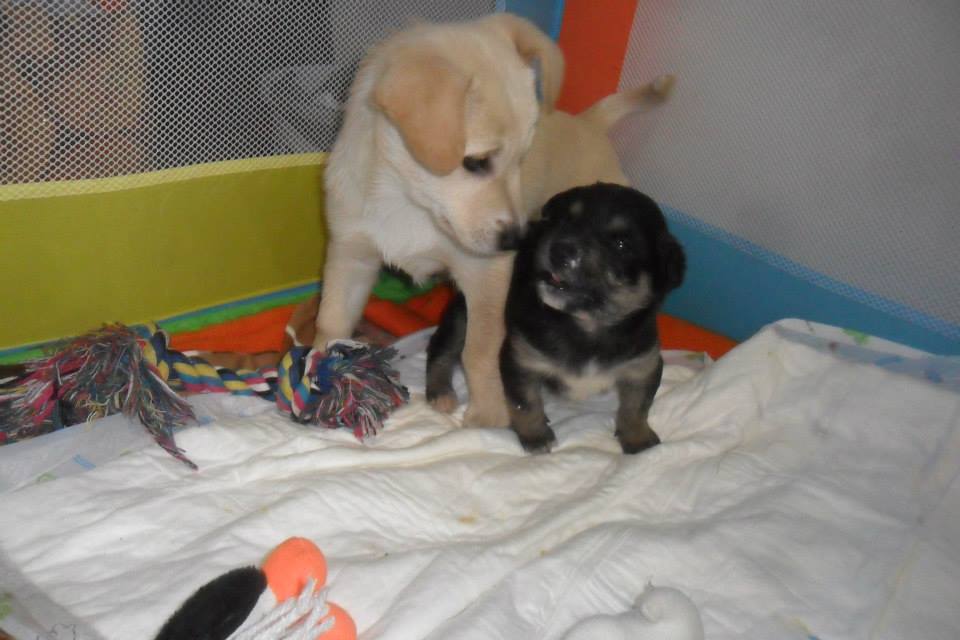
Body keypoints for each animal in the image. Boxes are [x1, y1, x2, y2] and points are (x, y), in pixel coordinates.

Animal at [314, 12, 674, 427]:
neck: (407, 203)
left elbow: (480, 351)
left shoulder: (486, 278)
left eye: (523, 158)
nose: (517, 240)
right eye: (476, 162)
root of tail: (590, 124)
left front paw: (487, 413)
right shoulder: (351, 256)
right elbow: (331, 322)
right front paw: (318, 378)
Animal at [427, 183, 686, 453]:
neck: (586, 326)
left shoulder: (644, 365)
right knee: (441, 350)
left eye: (622, 244)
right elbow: (526, 403)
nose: (560, 249)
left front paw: (638, 439)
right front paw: (536, 437)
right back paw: (440, 394)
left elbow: (637, 406)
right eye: (565, 221)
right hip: (462, 316)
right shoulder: (519, 359)